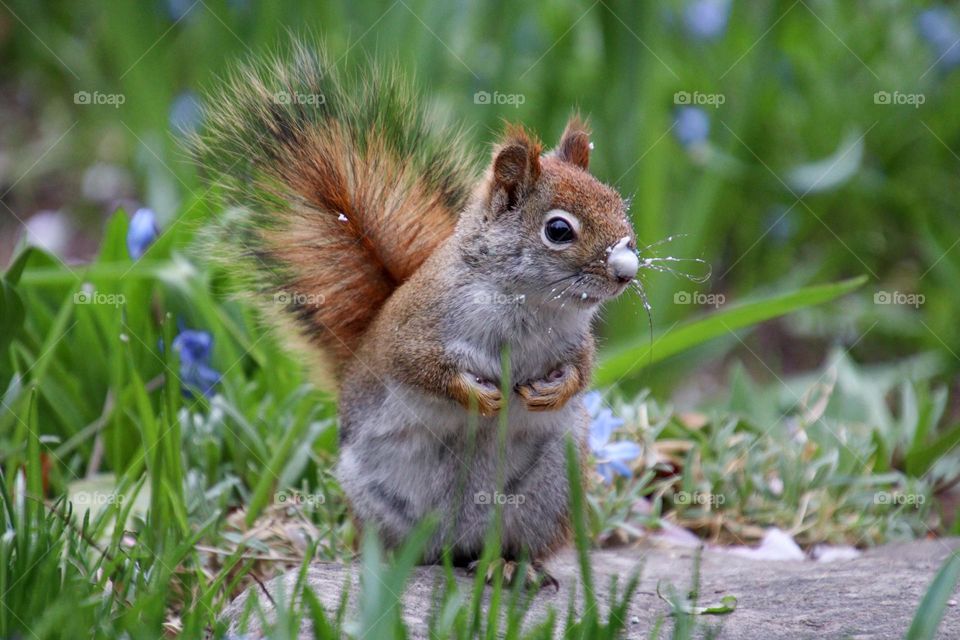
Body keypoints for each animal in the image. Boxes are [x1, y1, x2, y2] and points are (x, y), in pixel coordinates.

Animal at [193, 42, 639, 587]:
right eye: (558, 230)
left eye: (618, 205)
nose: (625, 271)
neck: (529, 305)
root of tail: (458, 545)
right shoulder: (414, 330)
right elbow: (418, 367)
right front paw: (478, 396)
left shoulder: (576, 341)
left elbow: (582, 370)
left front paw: (553, 391)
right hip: (376, 494)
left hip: (550, 490)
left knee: (514, 541)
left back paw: (512, 566)